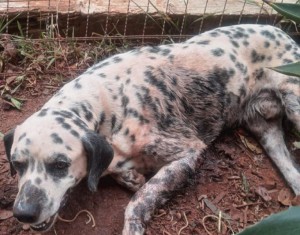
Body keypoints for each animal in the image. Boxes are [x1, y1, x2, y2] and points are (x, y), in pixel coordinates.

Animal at [3, 24, 300, 234]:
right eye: (17, 164)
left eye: (60, 164)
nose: (23, 213)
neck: (107, 104)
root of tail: (283, 32)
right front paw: (129, 176)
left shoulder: (190, 152)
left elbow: (140, 200)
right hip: (266, 131)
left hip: (294, 102)